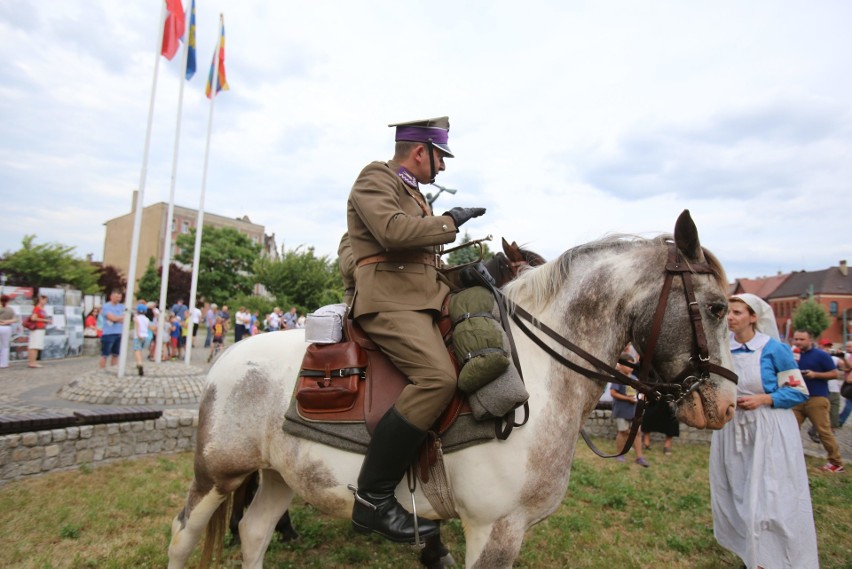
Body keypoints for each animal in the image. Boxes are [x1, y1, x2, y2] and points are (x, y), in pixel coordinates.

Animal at [168, 211, 740, 564]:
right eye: (716, 307)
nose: (725, 405)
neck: (537, 372)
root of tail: (228, 356)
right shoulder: (495, 530)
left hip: (280, 474)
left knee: (255, 532)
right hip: (216, 476)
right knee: (182, 536)